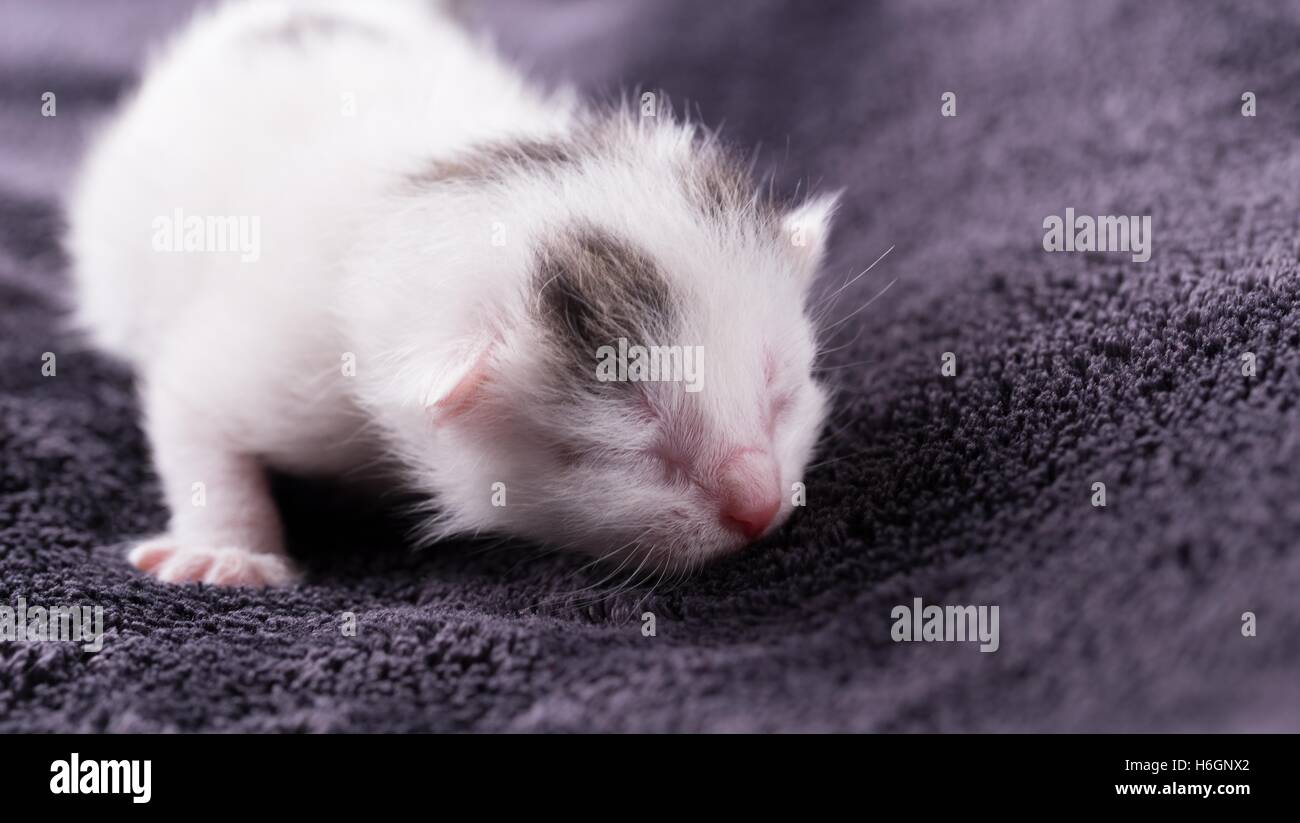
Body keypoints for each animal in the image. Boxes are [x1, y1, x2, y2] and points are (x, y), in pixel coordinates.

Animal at [68, 0, 842, 585]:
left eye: (781, 392)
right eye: (624, 452)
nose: (759, 504)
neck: (437, 180)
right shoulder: (283, 359)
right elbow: (195, 417)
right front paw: (226, 552)